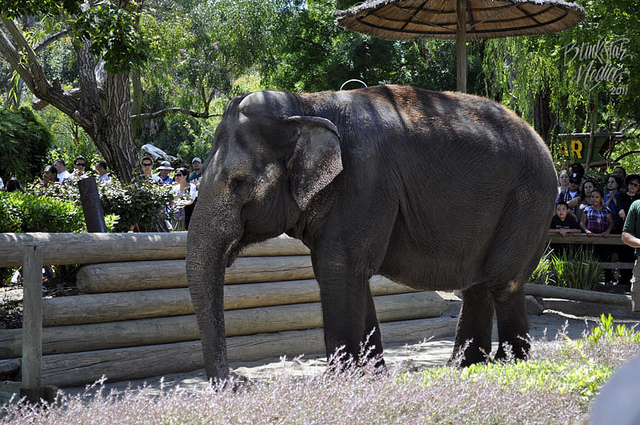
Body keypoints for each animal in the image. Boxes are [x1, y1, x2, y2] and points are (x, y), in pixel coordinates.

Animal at [186, 83, 560, 378]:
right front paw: (373, 375)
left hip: (528, 203)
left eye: (239, 183)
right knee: (478, 285)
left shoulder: (365, 182)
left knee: (503, 282)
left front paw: (339, 380)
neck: (306, 105)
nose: (239, 382)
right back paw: (463, 366)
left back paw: (511, 363)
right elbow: (344, 271)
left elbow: (339, 269)